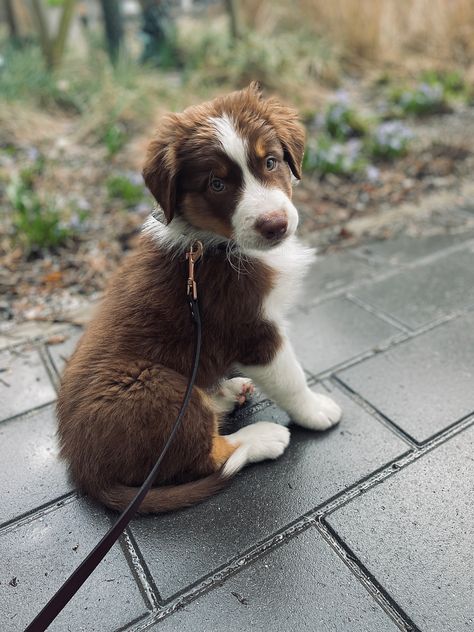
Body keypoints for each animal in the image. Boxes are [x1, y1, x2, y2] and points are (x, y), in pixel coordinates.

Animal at [57, 82, 342, 512]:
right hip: (157, 386)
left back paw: (226, 394)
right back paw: (262, 437)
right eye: (217, 184)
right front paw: (315, 410)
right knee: (206, 456)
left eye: (271, 161)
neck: (211, 244)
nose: (275, 225)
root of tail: (85, 470)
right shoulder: (251, 329)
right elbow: (291, 377)